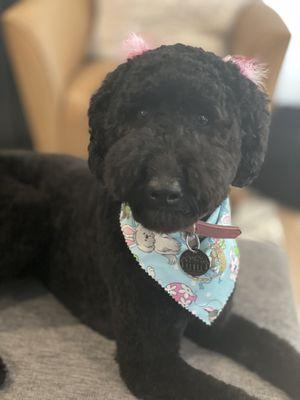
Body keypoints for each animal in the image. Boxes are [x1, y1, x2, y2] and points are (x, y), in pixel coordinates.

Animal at [0, 45, 300, 398]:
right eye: (140, 114)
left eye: (204, 118)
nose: (163, 189)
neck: (183, 240)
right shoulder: (150, 363)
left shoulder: (218, 323)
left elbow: (271, 346)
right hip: (30, 208)